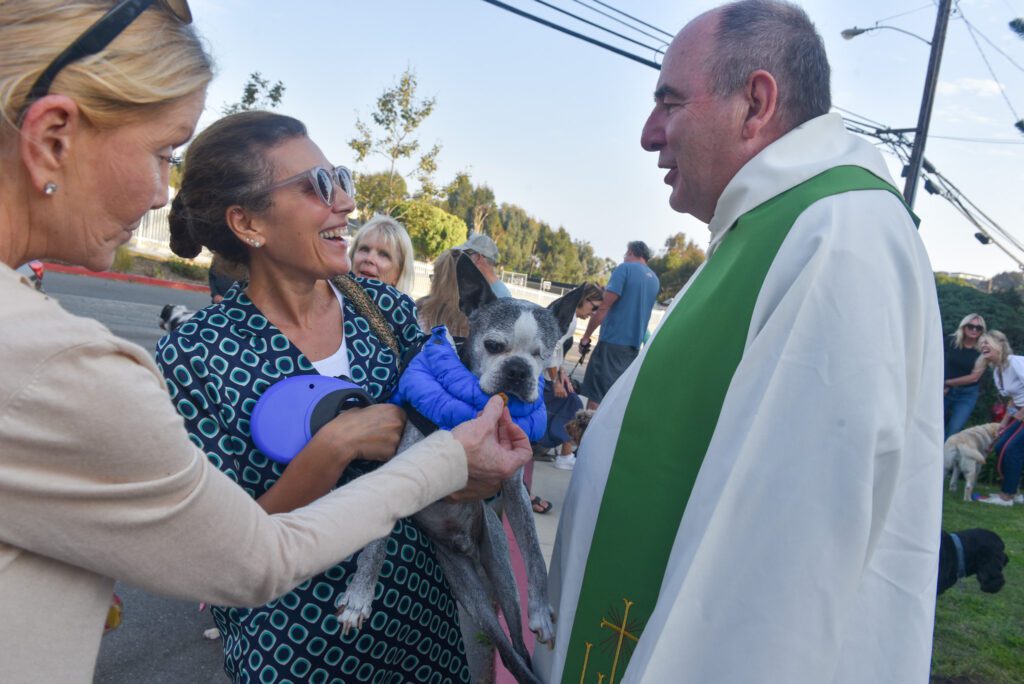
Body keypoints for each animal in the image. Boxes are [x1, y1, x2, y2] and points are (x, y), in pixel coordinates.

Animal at [337, 254, 573, 684]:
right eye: (493, 346)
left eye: (543, 356)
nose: (518, 370)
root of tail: (467, 548)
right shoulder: (400, 469)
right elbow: (377, 543)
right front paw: (361, 594)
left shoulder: (514, 488)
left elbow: (532, 548)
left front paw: (542, 610)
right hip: (470, 593)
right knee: (502, 643)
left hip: (501, 575)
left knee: (515, 641)